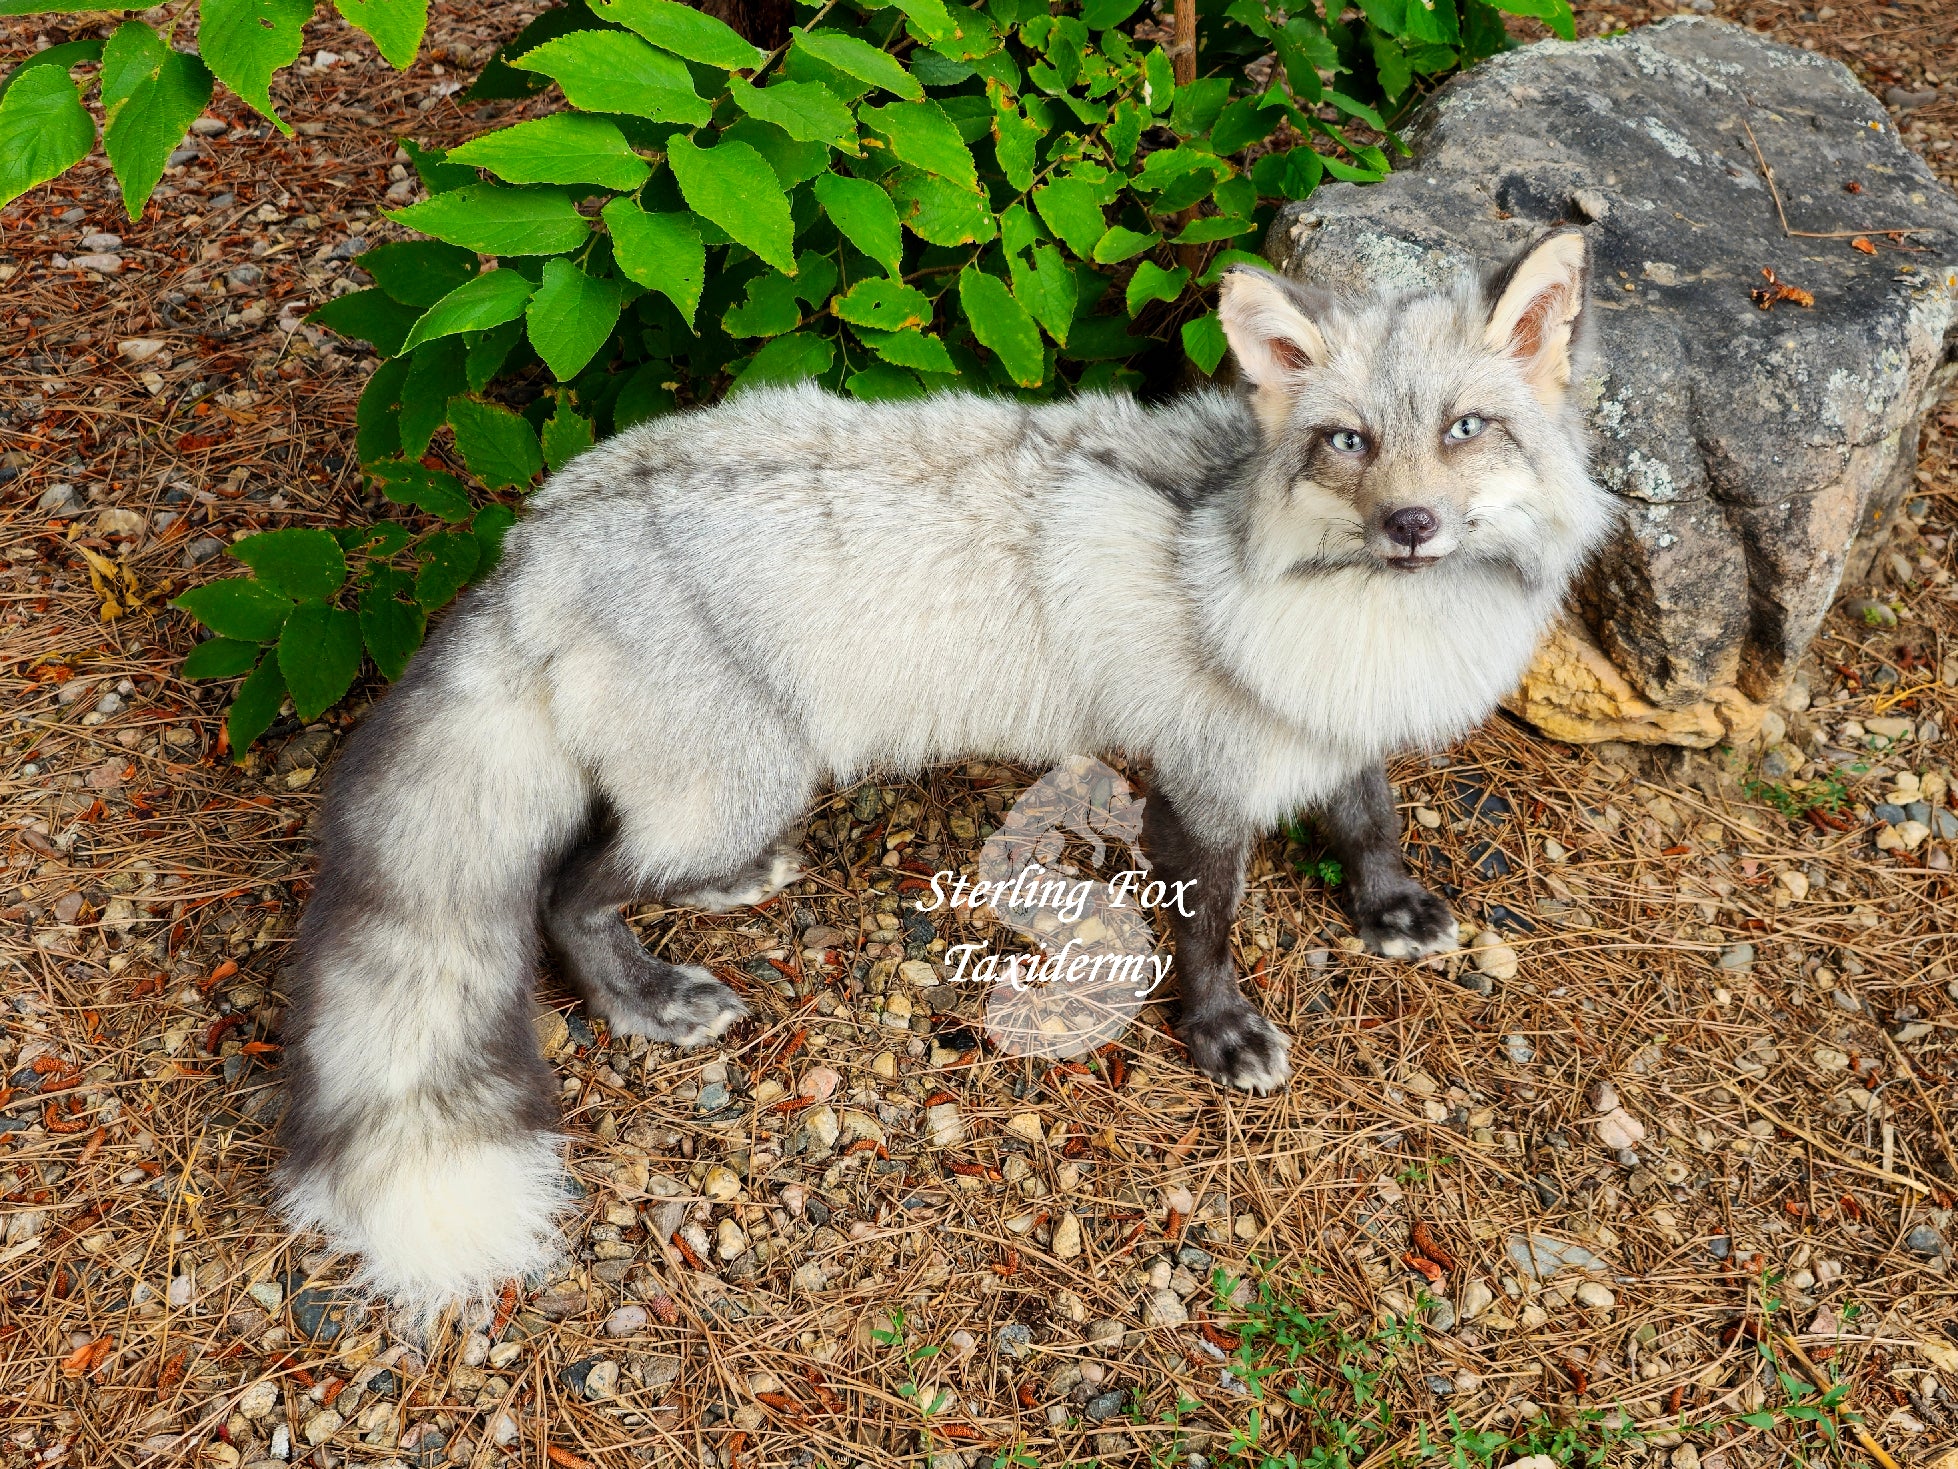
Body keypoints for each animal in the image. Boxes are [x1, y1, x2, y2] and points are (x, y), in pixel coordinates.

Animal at [276, 228, 1615, 1320]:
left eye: (1465, 429)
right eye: (1347, 442)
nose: (1409, 527)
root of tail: (535, 533)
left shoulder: (1329, 727)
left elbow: (1368, 815)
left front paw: (1385, 905)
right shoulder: (1201, 777)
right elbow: (1208, 928)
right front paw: (1220, 1031)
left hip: (717, 792)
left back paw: (731, 891)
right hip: (736, 783)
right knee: (567, 892)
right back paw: (646, 995)